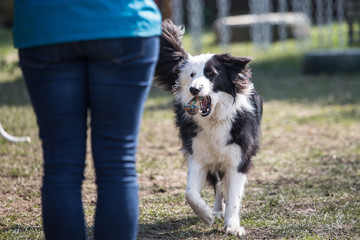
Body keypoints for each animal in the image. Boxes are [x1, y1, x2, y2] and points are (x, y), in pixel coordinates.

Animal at [153, 19, 262, 236]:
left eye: (211, 74)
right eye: (192, 74)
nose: (194, 89)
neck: (215, 118)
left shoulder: (239, 157)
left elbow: (234, 195)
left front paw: (233, 225)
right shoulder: (197, 153)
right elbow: (190, 193)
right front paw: (206, 215)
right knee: (218, 185)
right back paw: (216, 210)